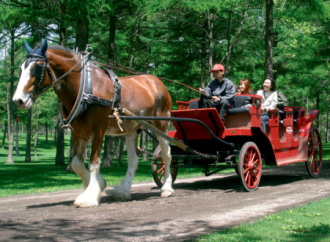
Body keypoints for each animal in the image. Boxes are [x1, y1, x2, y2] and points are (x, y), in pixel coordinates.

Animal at [11, 38, 174, 207]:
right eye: (21, 68)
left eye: (36, 68)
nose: (18, 100)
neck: (85, 88)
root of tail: (156, 81)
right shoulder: (78, 132)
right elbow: (76, 163)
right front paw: (98, 185)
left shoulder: (99, 130)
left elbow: (94, 163)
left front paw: (90, 196)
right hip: (132, 128)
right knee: (133, 160)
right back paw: (123, 191)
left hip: (161, 123)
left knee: (166, 155)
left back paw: (167, 188)